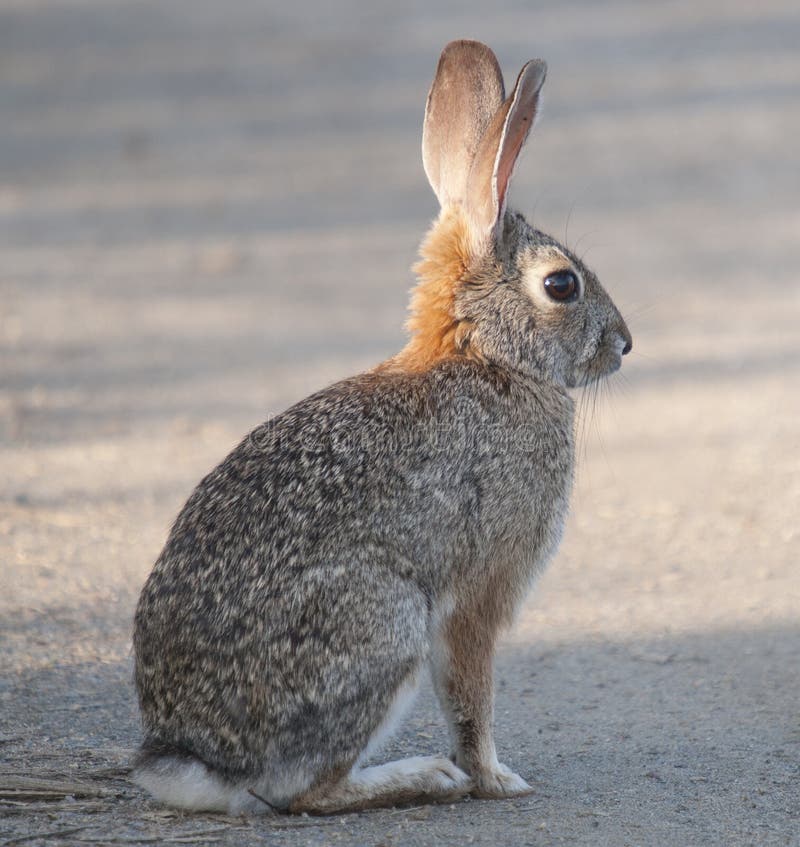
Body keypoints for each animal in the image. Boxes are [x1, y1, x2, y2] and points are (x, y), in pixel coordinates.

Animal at [131, 38, 632, 816]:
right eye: (562, 284)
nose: (624, 344)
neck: (487, 355)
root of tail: (197, 759)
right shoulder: (480, 590)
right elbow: (471, 698)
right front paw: (497, 780)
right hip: (384, 622)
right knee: (307, 790)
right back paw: (424, 776)